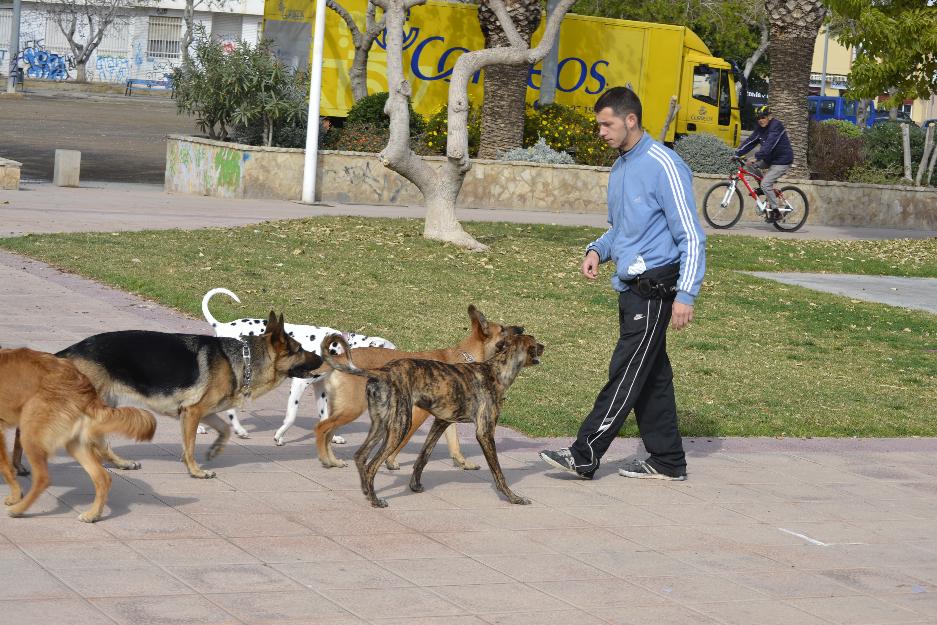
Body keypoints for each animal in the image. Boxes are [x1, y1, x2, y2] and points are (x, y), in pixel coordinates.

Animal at [0, 346, 157, 520]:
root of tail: (83, 387)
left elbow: (5, 468)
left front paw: (15, 496)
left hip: (30, 436)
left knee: (43, 478)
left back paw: (18, 509)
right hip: (75, 444)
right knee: (102, 477)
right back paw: (93, 515)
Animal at [56, 312, 326, 478]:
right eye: (300, 349)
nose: (323, 358)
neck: (244, 360)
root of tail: (69, 352)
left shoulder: (201, 412)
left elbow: (224, 430)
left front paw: (213, 451)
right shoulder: (193, 412)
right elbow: (192, 444)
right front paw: (196, 471)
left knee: (100, 442)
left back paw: (122, 463)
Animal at [201, 288, 394, 444]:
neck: (335, 347)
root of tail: (222, 326)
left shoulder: (320, 387)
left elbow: (325, 416)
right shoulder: (299, 384)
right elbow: (291, 416)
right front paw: (279, 436)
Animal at [312, 304, 520, 470]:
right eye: (503, 329)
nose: (521, 328)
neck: (464, 356)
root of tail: (339, 358)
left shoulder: (446, 417)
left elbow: (455, 443)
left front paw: (462, 462)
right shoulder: (418, 414)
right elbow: (404, 439)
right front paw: (390, 461)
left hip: (343, 408)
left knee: (328, 432)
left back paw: (333, 460)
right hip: (352, 408)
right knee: (321, 428)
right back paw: (326, 460)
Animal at [324, 332, 544, 508]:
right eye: (534, 342)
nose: (544, 346)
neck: (495, 371)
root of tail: (383, 371)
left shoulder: (440, 422)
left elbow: (423, 457)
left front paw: (415, 486)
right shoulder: (485, 432)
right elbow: (498, 472)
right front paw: (514, 498)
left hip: (380, 424)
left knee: (360, 456)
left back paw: (367, 492)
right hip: (400, 424)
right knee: (371, 465)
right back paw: (375, 500)